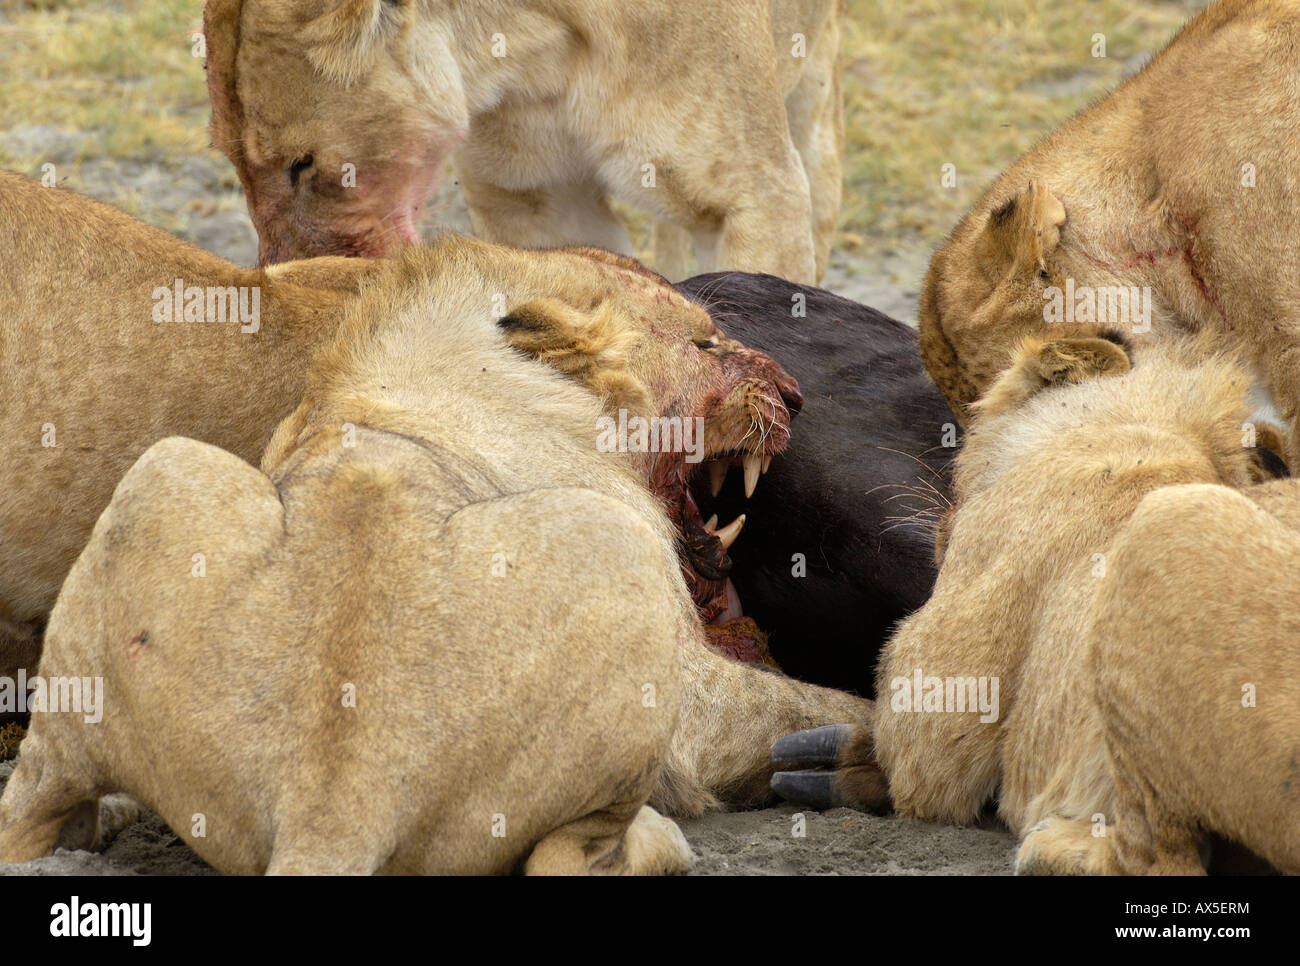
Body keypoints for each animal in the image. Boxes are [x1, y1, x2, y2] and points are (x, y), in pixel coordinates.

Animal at [0, 171, 870, 834]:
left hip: (164, 472)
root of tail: (333, 789)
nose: (797, 394)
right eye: (704, 342)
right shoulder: (683, 689)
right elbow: (806, 703)